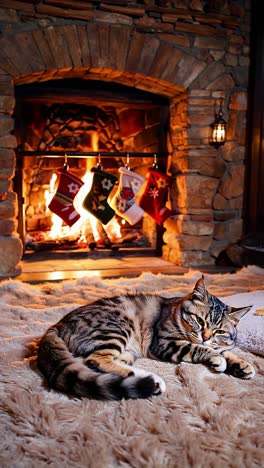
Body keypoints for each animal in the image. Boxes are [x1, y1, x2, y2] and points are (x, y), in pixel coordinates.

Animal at [37, 276, 254, 400]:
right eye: (199, 321)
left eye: (220, 331)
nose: (206, 336)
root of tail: (58, 324)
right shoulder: (166, 343)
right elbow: (198, 348)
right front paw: (216, 357)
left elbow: (224, 350)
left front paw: (242, 365)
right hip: (117, 327)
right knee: (95, 360)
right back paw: (153, 381)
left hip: (126, 351)